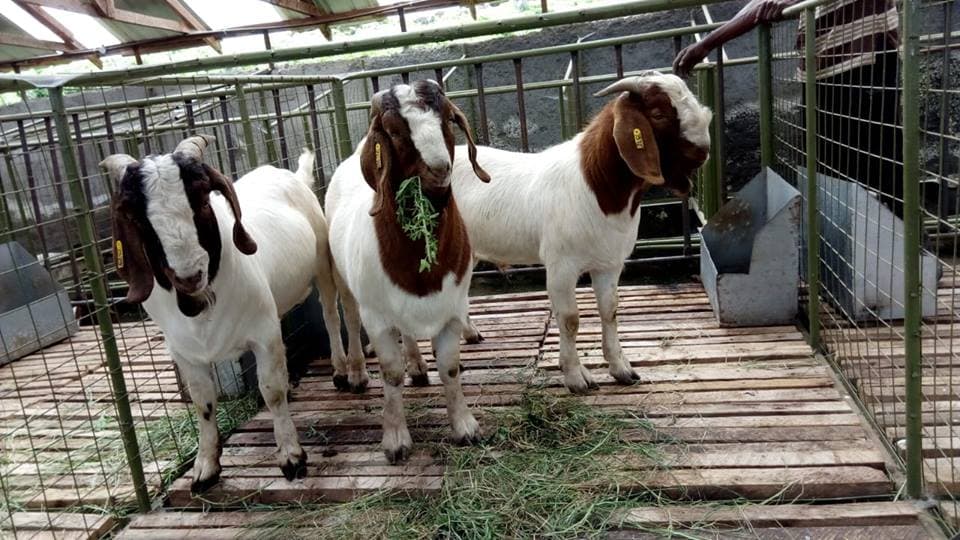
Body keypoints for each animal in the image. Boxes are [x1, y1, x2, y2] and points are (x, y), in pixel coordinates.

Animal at [101, 136, 363, 493]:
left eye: (202, 201)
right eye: (139, 219)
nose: (189, 275)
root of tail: (288, 174)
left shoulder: (263, 334)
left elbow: (271, 390)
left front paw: (291, 456)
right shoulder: (185, 353)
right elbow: (203, 404)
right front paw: (205, 468)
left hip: (323, 262)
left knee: (330, 315)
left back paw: (339, 370)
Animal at [326, 80, 490, 463]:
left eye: (447, 118)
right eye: (394, 132)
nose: (439, 170)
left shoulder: (451, 311)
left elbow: (449, 367)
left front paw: (465, 427)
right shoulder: (377, 318)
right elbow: (390, 374)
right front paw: (396, 440)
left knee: (410, 334)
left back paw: (417, 365)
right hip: (343, 281)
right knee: (349, 320)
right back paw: (357, 373)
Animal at [411, 72, 713, 394]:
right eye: (658, 113)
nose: (704, 151)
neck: (596, 186)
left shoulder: (609, 263)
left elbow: (610, 310)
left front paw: (621, 369)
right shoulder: (561, 266)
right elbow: (570, 319)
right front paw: (576, 377)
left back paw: (468, 334)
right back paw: (419, 367)